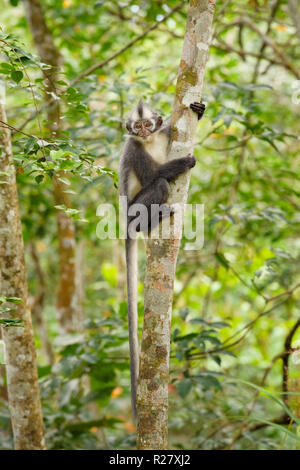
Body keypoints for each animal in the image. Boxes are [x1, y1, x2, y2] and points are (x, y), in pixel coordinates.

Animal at [118, 98, 205, 418]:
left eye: (148, 124)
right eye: (137, 127)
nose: (143, 131)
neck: (149, 141)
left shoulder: (167, 133)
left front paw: (200, 110)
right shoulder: (133, 148)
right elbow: (153, 175)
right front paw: (182, 164)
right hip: (134, 209)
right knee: (161, 185)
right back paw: (149, 222)